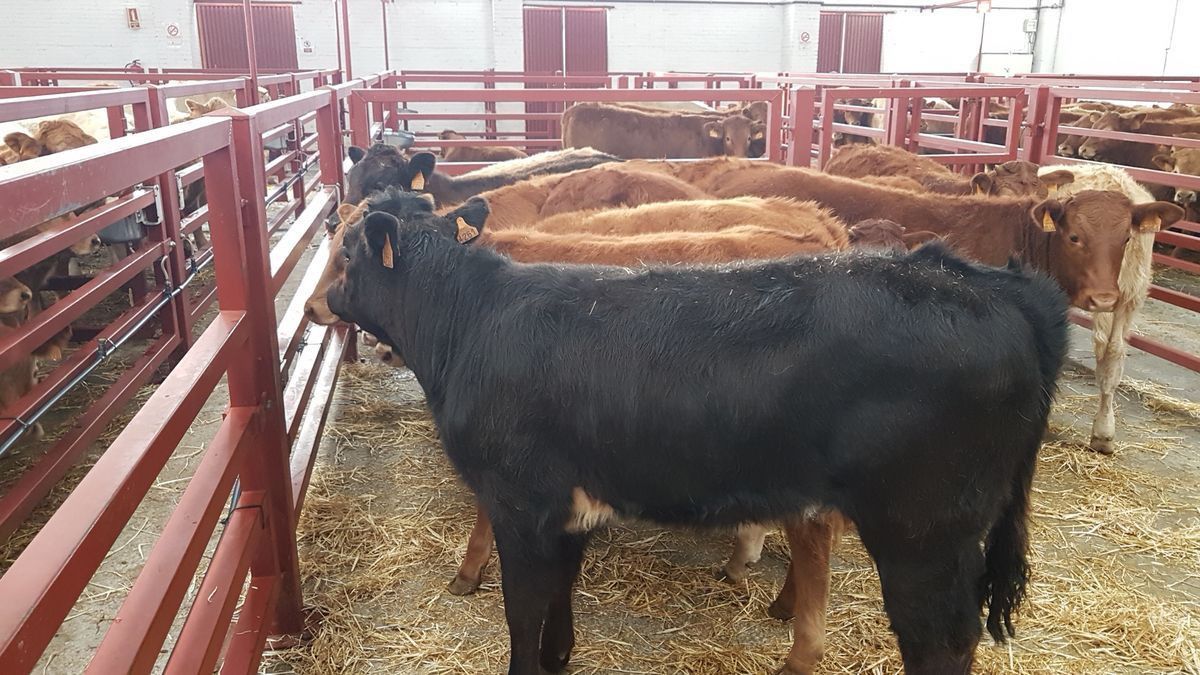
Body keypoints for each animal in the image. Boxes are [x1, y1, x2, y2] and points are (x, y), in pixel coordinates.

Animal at [326, 187, 1070, 672]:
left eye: (347, 252)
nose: (323, 297)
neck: (472, 319)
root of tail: (989, 284)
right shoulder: (570, 508)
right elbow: (559, 601)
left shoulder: (519, 502)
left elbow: (524, 610)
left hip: (923, 534)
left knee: (940, 639)